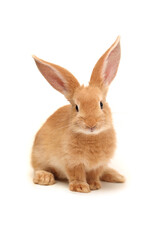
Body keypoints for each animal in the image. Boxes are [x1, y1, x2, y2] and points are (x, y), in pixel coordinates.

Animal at [31, 36, 125, 193]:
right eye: (76, 107)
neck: (91, 137)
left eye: (101, 104)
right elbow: (77, 174)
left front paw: (94, 185)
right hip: (39, 155)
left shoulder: (98, 165)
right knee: (38, 168)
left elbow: (94, 174)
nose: (91, 124)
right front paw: (81, 187)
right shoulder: (72, 162)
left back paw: (117, 176)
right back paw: (45, 178)